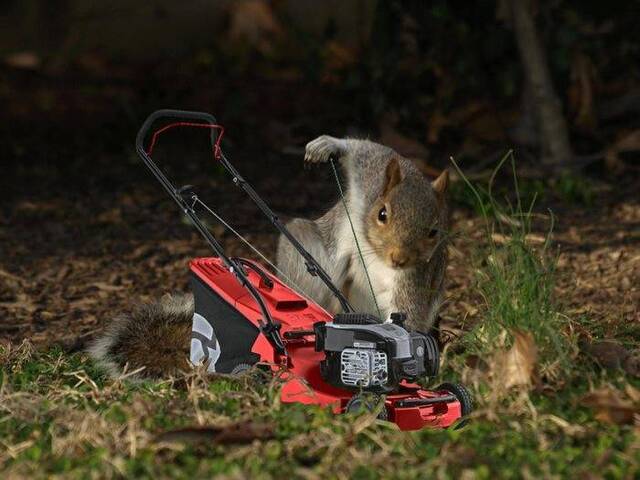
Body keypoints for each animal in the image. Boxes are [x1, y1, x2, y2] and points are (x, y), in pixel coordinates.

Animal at [87, 135, 450, 378]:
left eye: (435, 231)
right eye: (382, 214)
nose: (399, 258)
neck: (376, 251)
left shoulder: (414, 282)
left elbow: (406, 316)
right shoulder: (370, 178)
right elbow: (365, 150)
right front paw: (326, 146)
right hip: (307, 252)